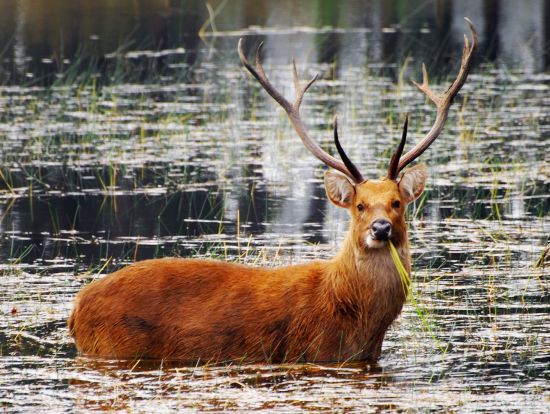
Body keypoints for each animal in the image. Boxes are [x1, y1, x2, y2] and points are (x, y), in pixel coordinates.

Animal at [68, 19, 474, 362]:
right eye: (359, 205)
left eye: (396, 203)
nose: (381, 228)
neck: (352, 316)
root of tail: (76, 308)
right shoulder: (313, 351)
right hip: (112, 343)